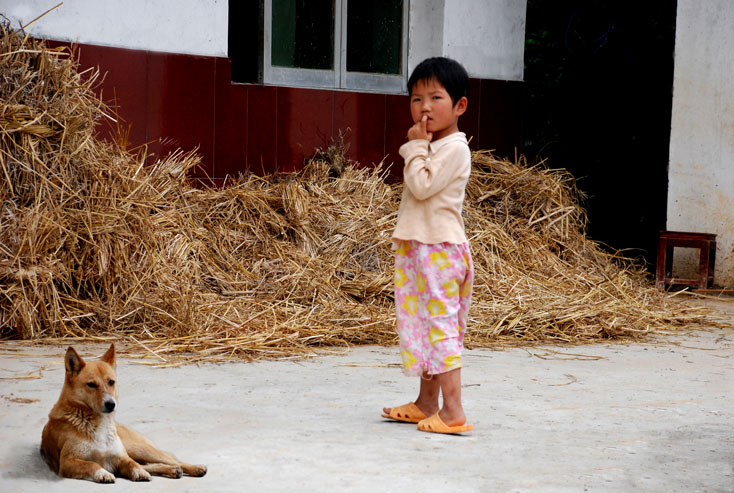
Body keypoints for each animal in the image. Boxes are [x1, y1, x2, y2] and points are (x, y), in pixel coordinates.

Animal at [41, 344, 207, 482]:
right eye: (91, 385)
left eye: (111, 382)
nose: (111, 404)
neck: (96, 422)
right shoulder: (67, 461)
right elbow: (91, 465)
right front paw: (103, 473)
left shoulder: (120, 456)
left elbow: (132, 464)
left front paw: (138, 472)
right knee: (153, 464)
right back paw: (173, 470)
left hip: (139, 449)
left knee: (170, 460)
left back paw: (194, 468)